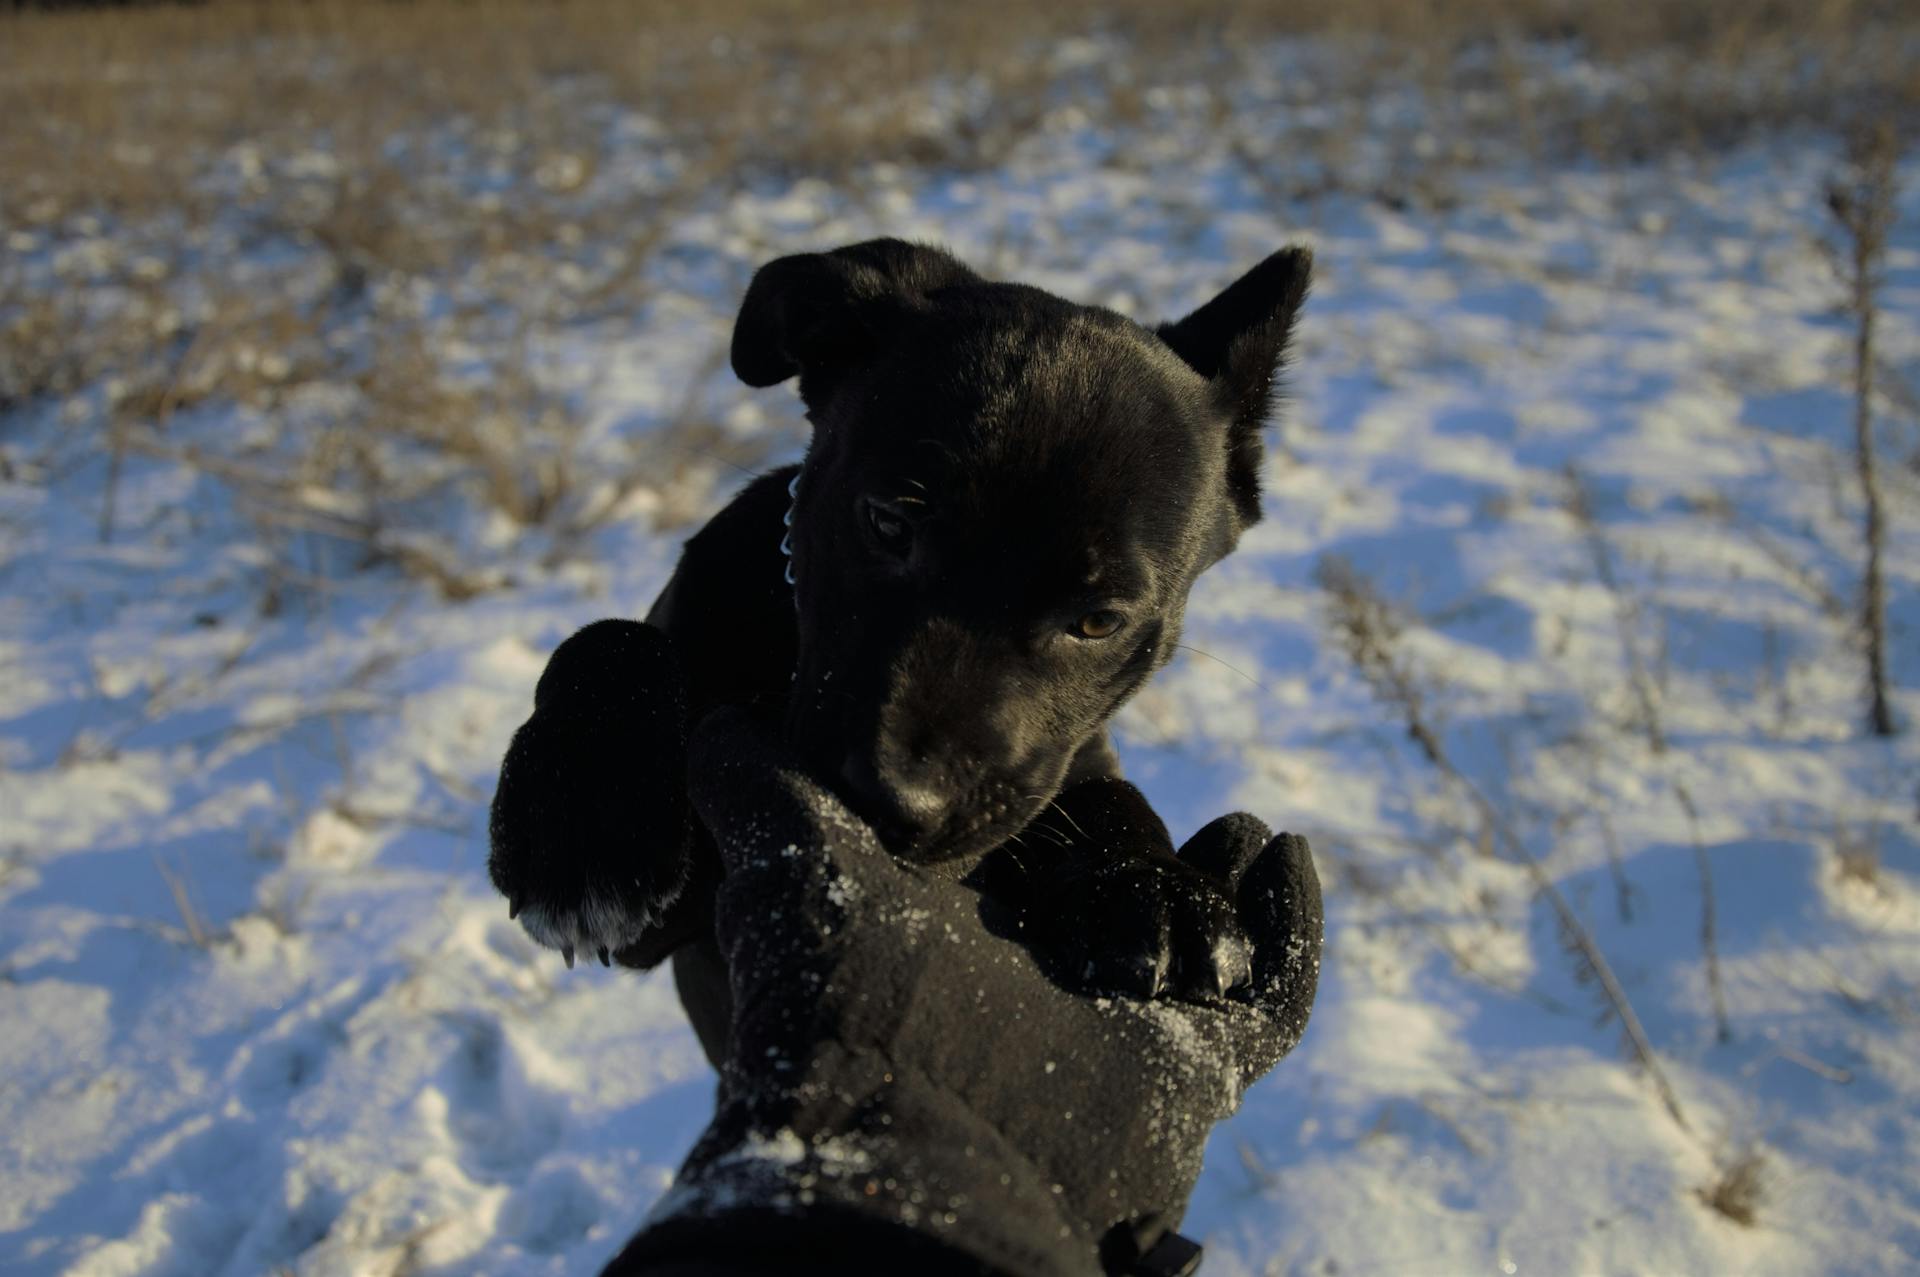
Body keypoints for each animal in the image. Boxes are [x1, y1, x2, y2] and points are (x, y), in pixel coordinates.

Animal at [487, 236, 1313, 1052]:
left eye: (1100, 620)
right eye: (887, 523)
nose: (897, 801)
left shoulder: (1061, 760)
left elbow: (1104, 791)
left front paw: (1154, 887)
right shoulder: (669, 927)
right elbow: (611, 640)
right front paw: (585, 820)